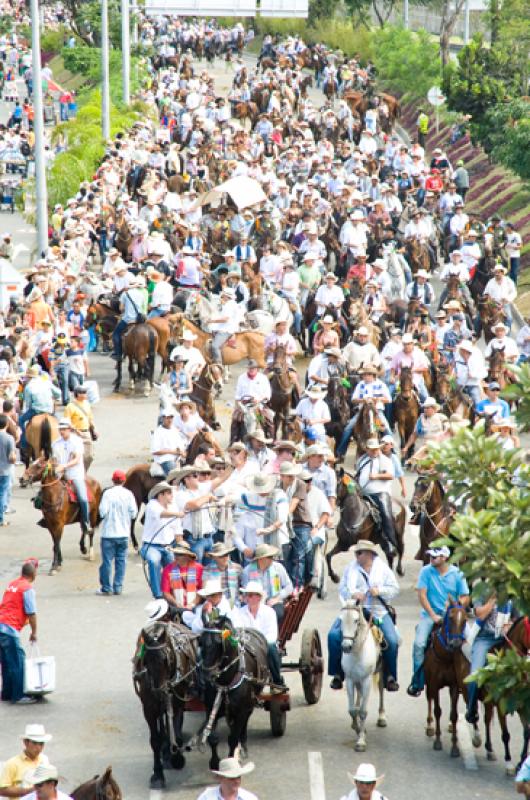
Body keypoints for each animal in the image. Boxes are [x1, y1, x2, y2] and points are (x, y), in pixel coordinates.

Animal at [132, 620, 198, 788]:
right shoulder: (149, 708)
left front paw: (175, 756)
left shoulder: (176, 702)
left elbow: (173, 729)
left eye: (166, 659)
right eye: (146, 661)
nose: (159, 692)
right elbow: (154, 740)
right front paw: (157, 774)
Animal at [200, 612, 270, 768]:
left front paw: (231, 761)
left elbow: (233, 738)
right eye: (200, 642)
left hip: (249, 704)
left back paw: (243, 745)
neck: (225, 682)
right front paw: (214, 762)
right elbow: (213, 737)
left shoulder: (242, 710)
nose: (207, 674)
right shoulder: (211, 708)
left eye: (218, 643)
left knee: (243, 724)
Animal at [338, 600, 384, 752]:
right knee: (359, 696)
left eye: (356, 620)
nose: (346, 647)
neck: (358, 652)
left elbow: (363, 711)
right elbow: (352, 710)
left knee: (381, 690)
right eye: (340, 620)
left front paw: (361, 742)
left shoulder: (366, 680)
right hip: (357, 681)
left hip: (380, 672)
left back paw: (382, 717)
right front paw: (358, 729)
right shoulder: (350, 679)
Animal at [422, 604, 468, 760]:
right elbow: (437, 711)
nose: (456, 643)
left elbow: (453, 715)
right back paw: (429, 726)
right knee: (429, 699)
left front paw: (455, 747)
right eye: (451, 617)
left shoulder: (454, 686)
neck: (445, 655)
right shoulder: (434, 683)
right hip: (428, 682)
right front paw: (437, 741)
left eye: (465, 620)